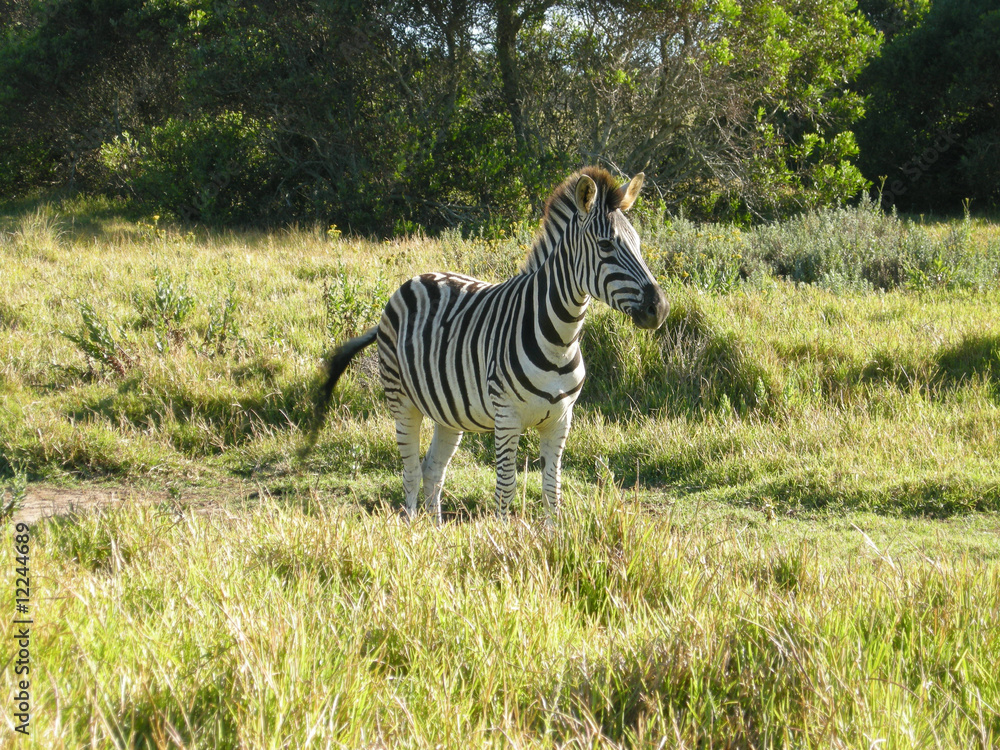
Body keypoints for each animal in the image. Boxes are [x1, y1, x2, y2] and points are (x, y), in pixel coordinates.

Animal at [312, 168, 668, 522]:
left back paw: (434, 530)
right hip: (401, 400)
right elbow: (506, 488)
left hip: (448, 411)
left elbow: (552, 489)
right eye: (606, 245)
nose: (660, 308)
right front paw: (503, 536)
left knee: (432, 469)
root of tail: (414, 280)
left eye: (638, 244)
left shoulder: (560, 419)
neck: (560, 339)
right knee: (411, 472)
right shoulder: (507, 417)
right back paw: (412, 530)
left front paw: (553, 534)